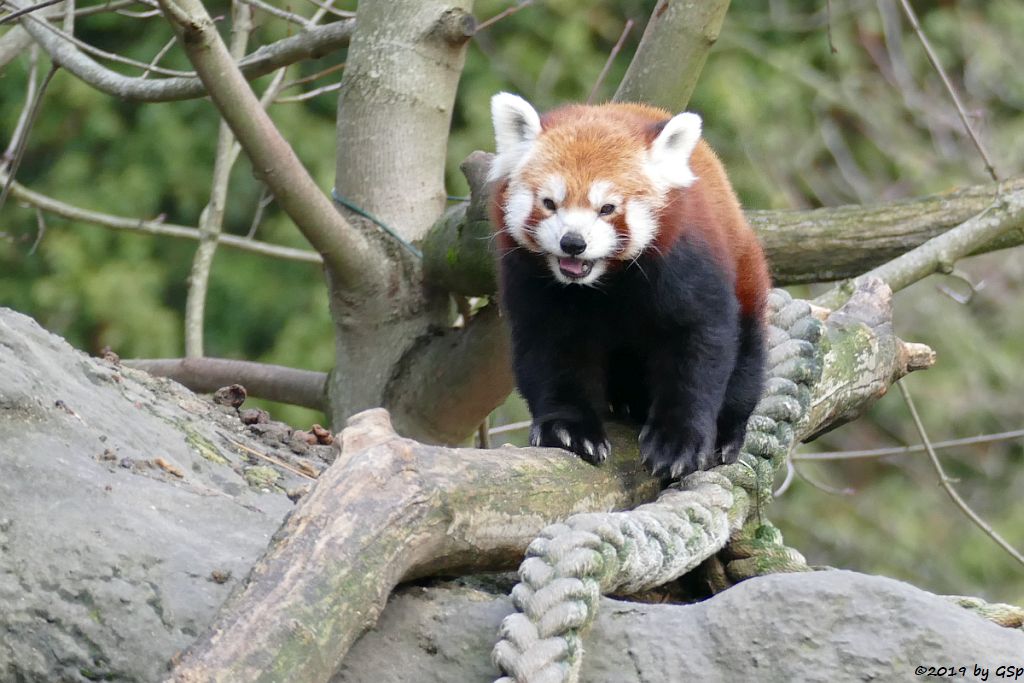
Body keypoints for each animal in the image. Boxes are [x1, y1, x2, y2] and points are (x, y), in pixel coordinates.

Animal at [487, 93, 770, 479]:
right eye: (549, 203)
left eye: (607, 208)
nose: (572, 243)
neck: (604, 279)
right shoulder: (532, 281)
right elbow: (552, 349)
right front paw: (568, 429)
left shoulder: (684, 263)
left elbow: (698, 343)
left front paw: (678, 441)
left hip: (746, 274)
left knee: (748, 354)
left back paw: (727, 433)